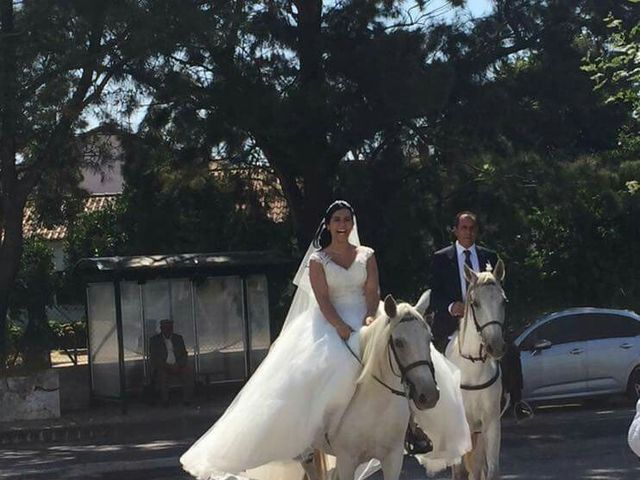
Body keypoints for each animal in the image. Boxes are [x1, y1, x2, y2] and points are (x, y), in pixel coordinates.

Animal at [300, 292, 440, 480]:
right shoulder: (346, 461)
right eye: (399, 342)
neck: (376, 404)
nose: (429, 396)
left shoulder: (393, 458)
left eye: (429, 339)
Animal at [448, 262, 508, 480]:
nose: (495, 346)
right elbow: (460, 471)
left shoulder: (490, 424)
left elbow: (490, 470)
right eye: (475, 303)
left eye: (503, 301)